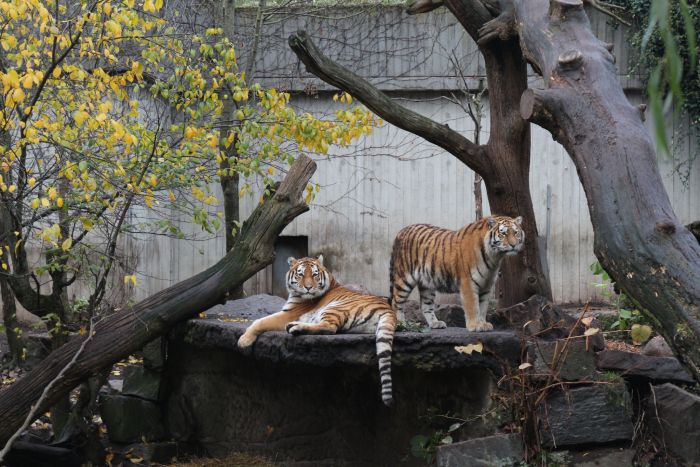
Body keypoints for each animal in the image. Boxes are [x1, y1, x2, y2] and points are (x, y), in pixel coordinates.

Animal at [237, 255, 397, 406]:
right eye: (301, 274)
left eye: (314, 275)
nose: (308, 288)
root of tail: (389, 310)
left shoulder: (288, 314)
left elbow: (260, 321)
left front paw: (243, 341)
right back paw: (295, 326)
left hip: (334, 308)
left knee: (330, 327)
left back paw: (295, 327)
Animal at [389, 215, 524, 332]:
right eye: (503, 233)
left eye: (516, 232)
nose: (513, 245)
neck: (494, 256)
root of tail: (401, 231)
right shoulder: (468, 283)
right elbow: (473, 306)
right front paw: (475, 325)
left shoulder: (487, 285)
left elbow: (483, 307)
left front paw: (483, 324)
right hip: (404, 278)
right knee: (396, 302)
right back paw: (401, 324)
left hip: (427, 283)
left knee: (425, 306)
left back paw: (435, 323)